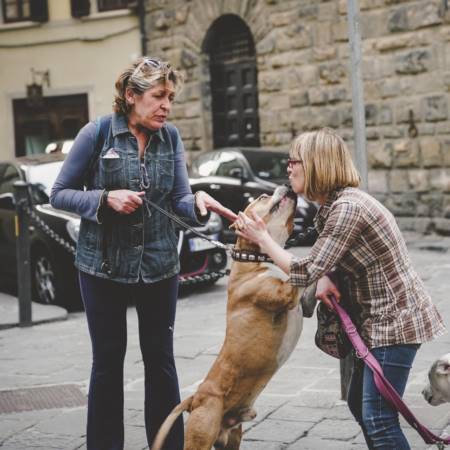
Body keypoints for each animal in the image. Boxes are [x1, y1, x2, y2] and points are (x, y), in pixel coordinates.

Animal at [153, 185, 304, 448]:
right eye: (262, 197)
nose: (287, 185)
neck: (257, 258)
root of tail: (195, 397)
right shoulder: (284, 294)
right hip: (202, 433)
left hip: (232, 435)